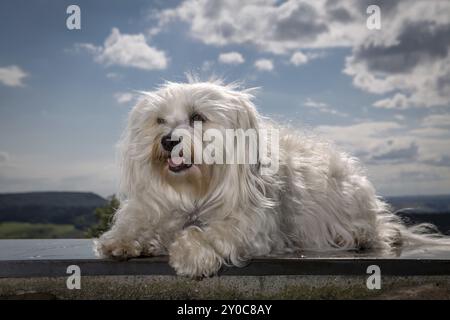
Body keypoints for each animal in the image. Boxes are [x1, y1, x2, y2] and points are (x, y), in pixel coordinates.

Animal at [94, 78, 446, 278]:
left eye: (197, 117)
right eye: (159, 120)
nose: (167, 141)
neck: (195, 192)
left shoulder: (255, 227)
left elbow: (216, 232)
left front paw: (190, 252)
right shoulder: (157, 208)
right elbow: (139, 223)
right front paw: (122, 241)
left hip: (350, 197)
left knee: (380, 231)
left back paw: (362, 236)